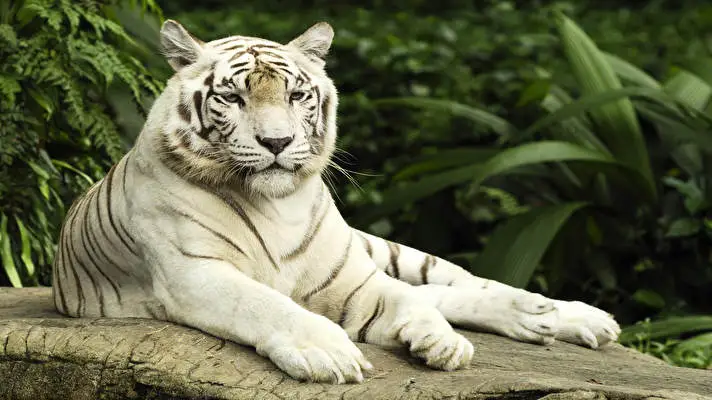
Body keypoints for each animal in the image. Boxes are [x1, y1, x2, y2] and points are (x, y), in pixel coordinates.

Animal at [51, 19, 621, 384]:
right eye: (233, 97)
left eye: (296, 96)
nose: (277, 142)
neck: (276, 206)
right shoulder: (195, 273)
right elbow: (266, 303)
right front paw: (329, 352)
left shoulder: (353, 280)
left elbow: (409, 300)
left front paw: (440, 343)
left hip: (384, 251)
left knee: (456, 283)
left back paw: (562, 314)